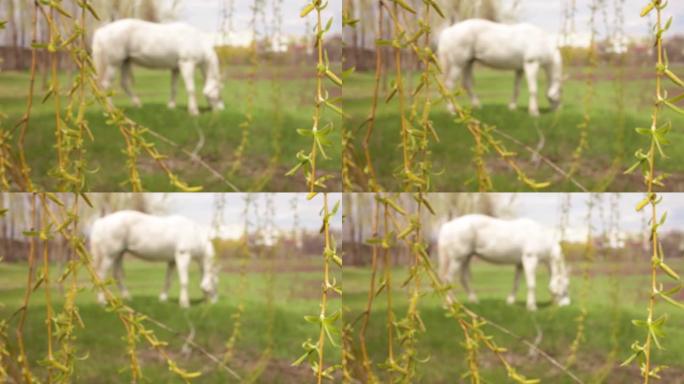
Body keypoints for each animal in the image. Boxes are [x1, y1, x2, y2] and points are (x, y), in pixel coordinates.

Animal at [90, 210, 219, 308]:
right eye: (215, 281)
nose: (215, 302)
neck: (194, 234)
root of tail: (101, 222)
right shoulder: (183, 255)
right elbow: (184, 281)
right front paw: (184, 304)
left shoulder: (172, 261)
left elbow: (168, 280)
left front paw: (163, 299)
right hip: (109, 256)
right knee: (101, 276)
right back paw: (102, 302)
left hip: (118, 254)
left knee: (117, 275)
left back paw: (127, 298)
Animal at [91, 19, 223, 115]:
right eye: (219, 91)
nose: (221, 109)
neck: (196, 40)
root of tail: (102, 31)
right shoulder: (187, 64)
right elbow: (191, 89)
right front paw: (194, 111)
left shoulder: (175, 68)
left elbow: (174, 87)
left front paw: (171, 106)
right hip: (113, 64)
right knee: (105, 85)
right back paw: (111, 109)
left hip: (126, 62)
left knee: (124, 83)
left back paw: (137, 104)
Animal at [436, 19, 564, 115]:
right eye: (561, 91)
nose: (558, 110)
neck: (542, 42)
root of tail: (448, 31)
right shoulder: (531, 64)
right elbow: (533, 89)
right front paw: (534, 112)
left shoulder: (520, 69)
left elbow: (516, 89)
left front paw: (512, 107)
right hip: (457, 64)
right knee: (448, 85)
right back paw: (452, 111)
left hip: (468, 63)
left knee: (467, 83)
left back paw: (477, 106)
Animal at [438, 214, 572, 310]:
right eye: (565, 286)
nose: (566, 304)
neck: (540, 237)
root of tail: (447, 226)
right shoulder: (530, 259)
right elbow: (531, 284)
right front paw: (532, 307)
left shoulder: (520, 264)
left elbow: (516, 283)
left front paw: (510, 302)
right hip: (457, 259)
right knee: (448, 279)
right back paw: (449, 304)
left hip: (466, 257)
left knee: (463, 278)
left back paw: (474, 301)